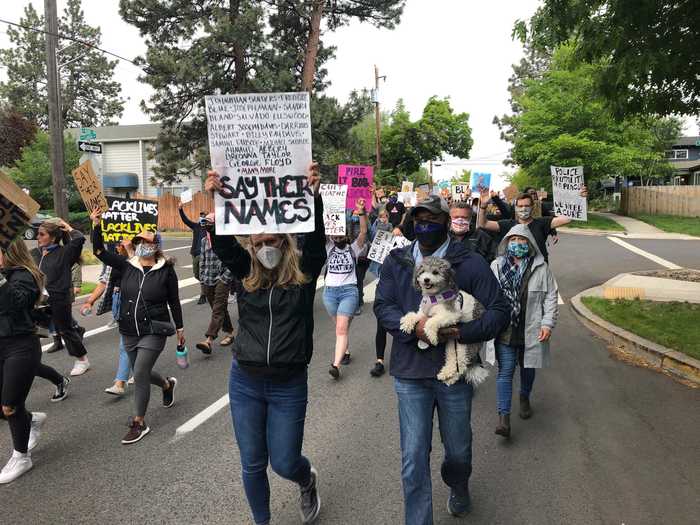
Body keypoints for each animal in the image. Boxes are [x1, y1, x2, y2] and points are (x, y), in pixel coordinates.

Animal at [400, 256, 486, 384]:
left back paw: (452, 378)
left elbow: (430, 322)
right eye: (422, 271)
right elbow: (414, 315)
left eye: (435, 272)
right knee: (452, 360)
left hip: (464, 345)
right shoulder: (423, 312)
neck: (434, 296)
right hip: (452, 345)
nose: (426, 279)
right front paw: (407, 323)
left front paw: (431, 337)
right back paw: (446, 374)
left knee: (461, 365)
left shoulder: (451, 314)